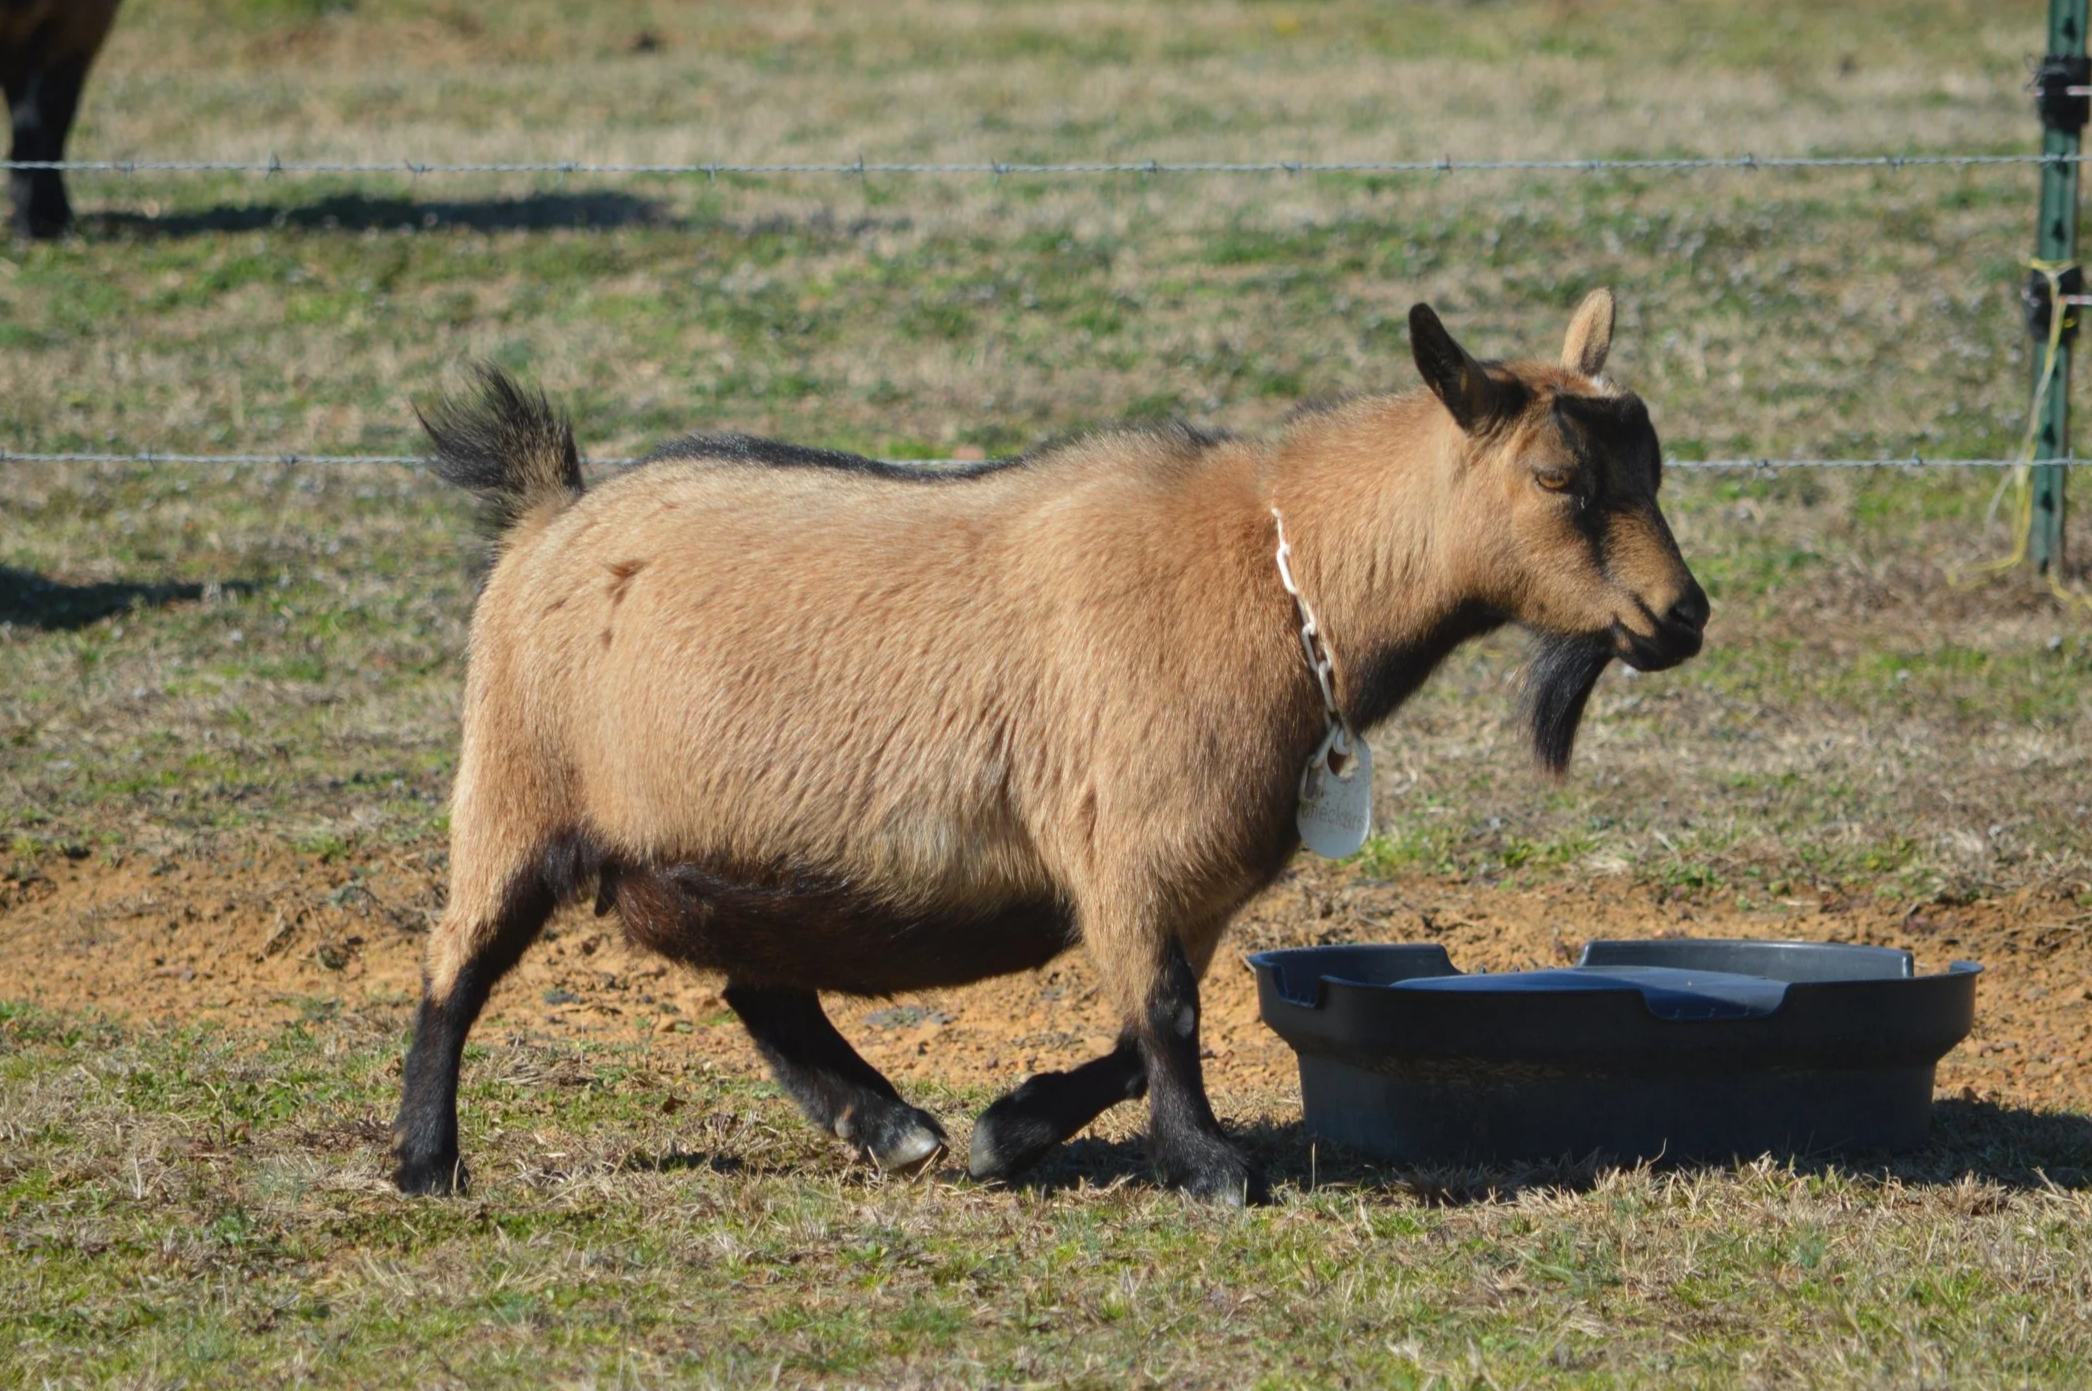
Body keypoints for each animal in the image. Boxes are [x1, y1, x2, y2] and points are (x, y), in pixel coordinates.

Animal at [392, 290, 1707, 1204]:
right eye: (1559, 475)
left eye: (1650, 462)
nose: (1681, 615)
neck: (1281, 571)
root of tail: (550, 509)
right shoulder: (1130, 839)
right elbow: (1168, 1016)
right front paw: (1211, 1167)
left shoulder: (1196, 876)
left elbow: (1138, 1032)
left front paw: (1004, 1130)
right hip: (514, 788)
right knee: (457, 964)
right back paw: (426, 1161)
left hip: (722, 844)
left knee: (760, 981)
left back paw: (890, 1125)